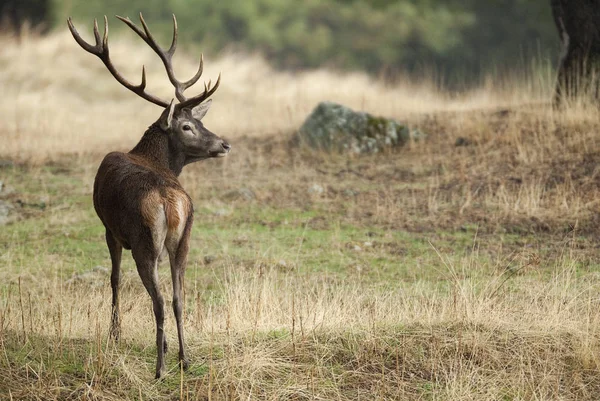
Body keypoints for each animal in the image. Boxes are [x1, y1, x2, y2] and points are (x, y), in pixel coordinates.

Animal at [67, 14, 231, 378]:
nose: (225, 143)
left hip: (144, 239)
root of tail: (169, 201)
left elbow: (114, 278)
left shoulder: (109, 228)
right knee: (178, 298)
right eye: (188, 126)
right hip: (183, 239)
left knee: (158, 300)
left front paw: (115, 333)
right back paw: (184, 358)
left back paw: (159, 368)